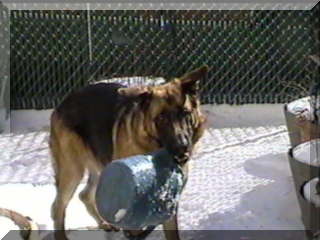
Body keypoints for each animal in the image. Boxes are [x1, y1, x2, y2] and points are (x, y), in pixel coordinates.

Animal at [48, 65, 206, 240]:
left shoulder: (169, 205)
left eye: (185, 113)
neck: (151, 150)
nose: (182, 147)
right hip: (72, 171)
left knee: (85, 194)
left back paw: (104, 223)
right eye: (161, 118)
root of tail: (63, 103)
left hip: (101, 166)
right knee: (57, 206)